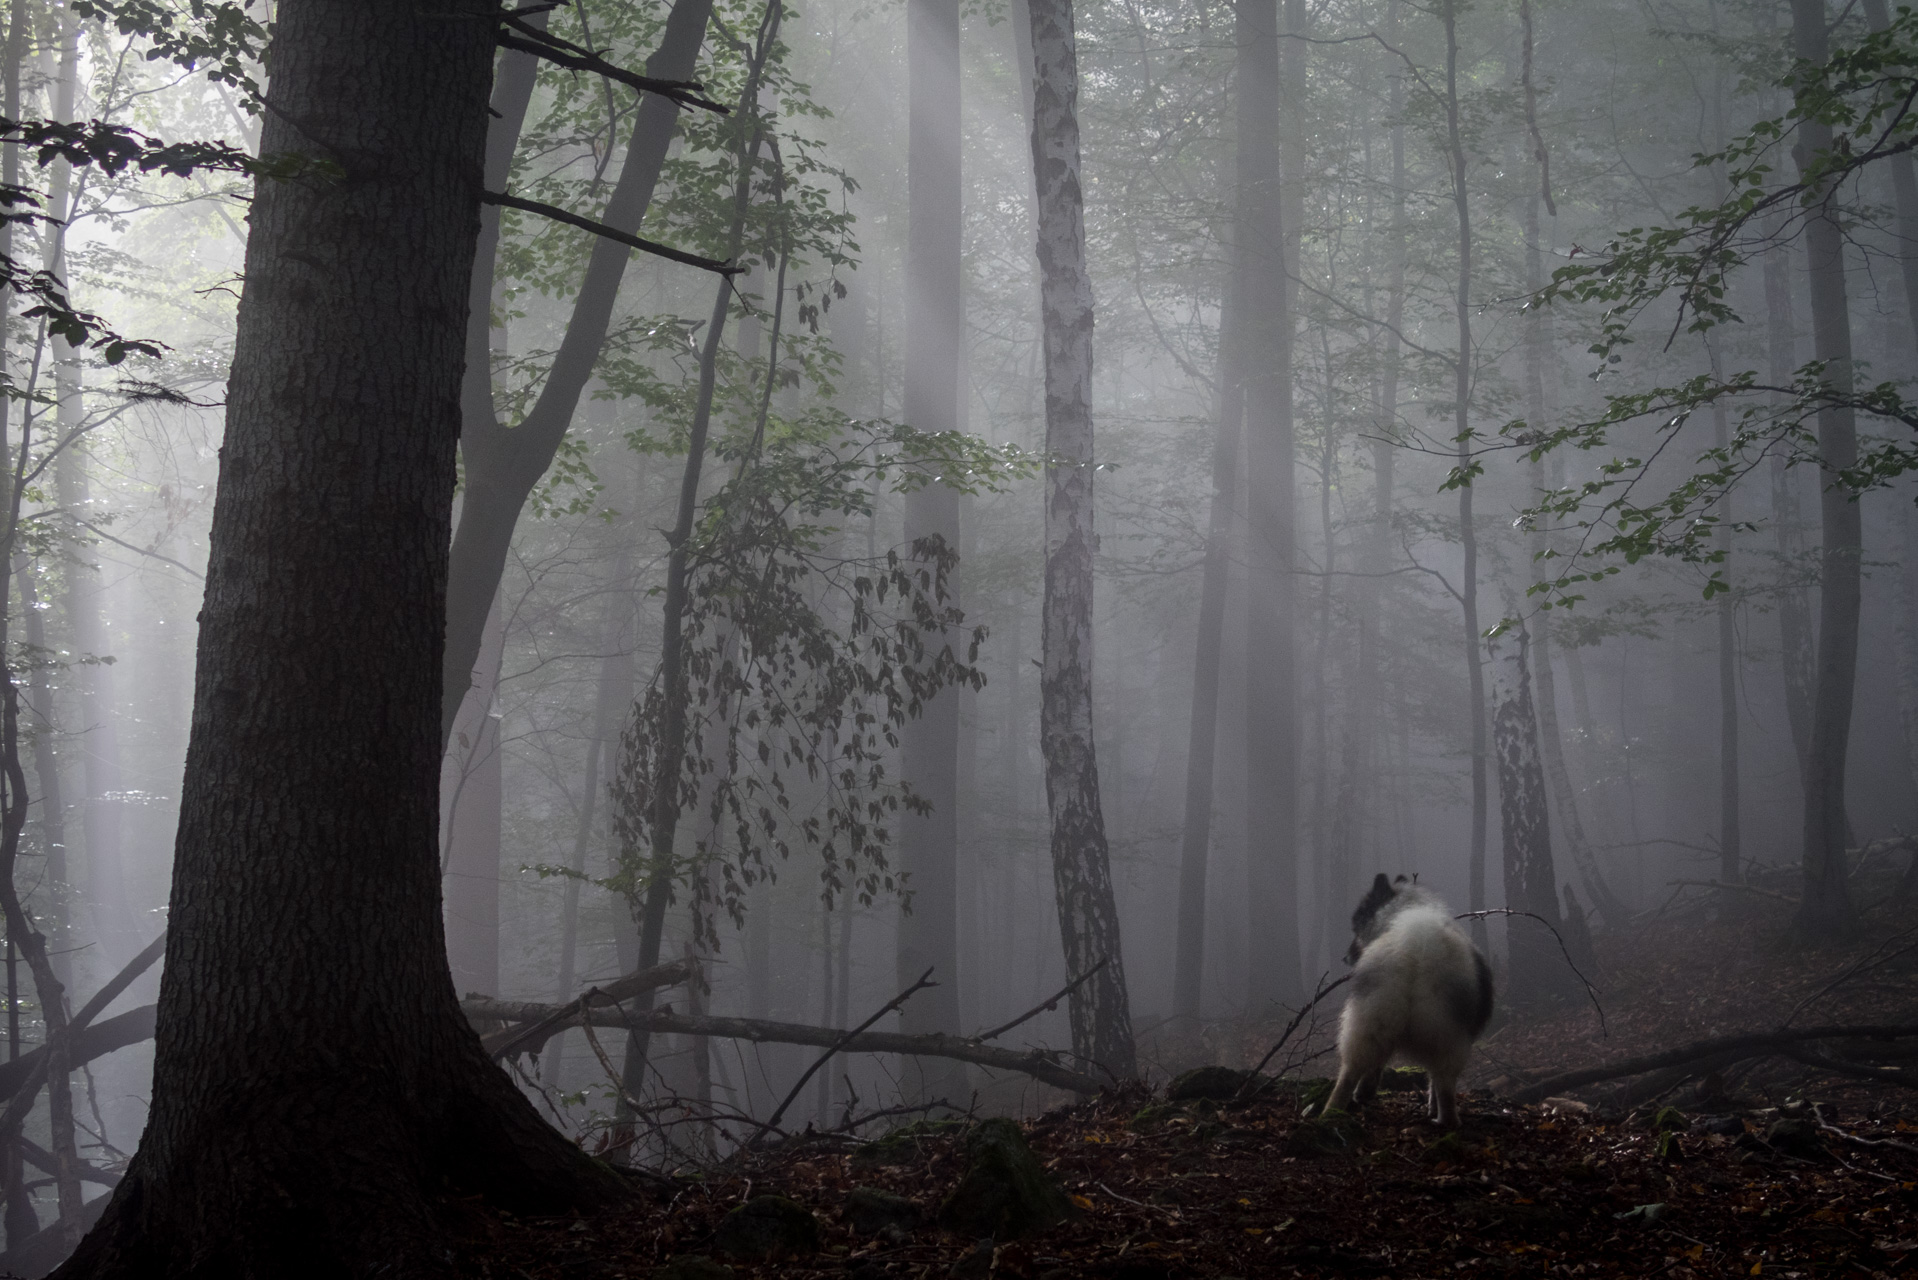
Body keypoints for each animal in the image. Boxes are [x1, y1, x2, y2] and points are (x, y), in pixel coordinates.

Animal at [1319, 871, 1496, 1128]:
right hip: (1447, 1037)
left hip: (1370, 1025)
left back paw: (1330, 1112)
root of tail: (1415, 948)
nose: (1345, 957)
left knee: (1350, 1073)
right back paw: (1446, 1121)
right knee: (1443, 1084)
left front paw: (1365, 1093)